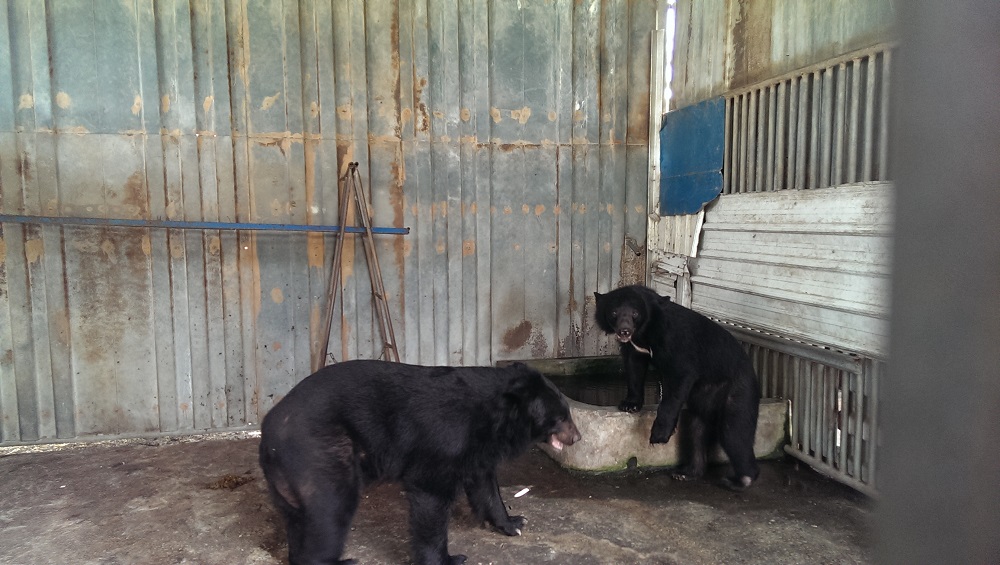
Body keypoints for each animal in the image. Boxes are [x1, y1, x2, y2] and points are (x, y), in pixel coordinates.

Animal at [258, 359, 581, 565]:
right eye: (562, 417)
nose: (577, 437)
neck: (496, 416)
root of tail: (269, 432)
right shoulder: (444, 440)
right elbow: (431, 496)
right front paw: (448, 559)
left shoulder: (477, 449)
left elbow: (485, 485)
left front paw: (513, 523)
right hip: (323, 454)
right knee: (330, 512)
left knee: (298, 519)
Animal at [594, 284, 760, 490]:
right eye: (614, 312)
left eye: (635, 313)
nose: (624, 331)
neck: (645, 332)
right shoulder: (636, 348)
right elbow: (634, 367)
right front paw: (629, 404)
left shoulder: (676, 343)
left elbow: (679, 378)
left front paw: (658, 435)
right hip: (704, 398)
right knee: (697, 429)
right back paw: (686, 472)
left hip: (738, 391)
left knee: (735, 432)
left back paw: (740, 479)